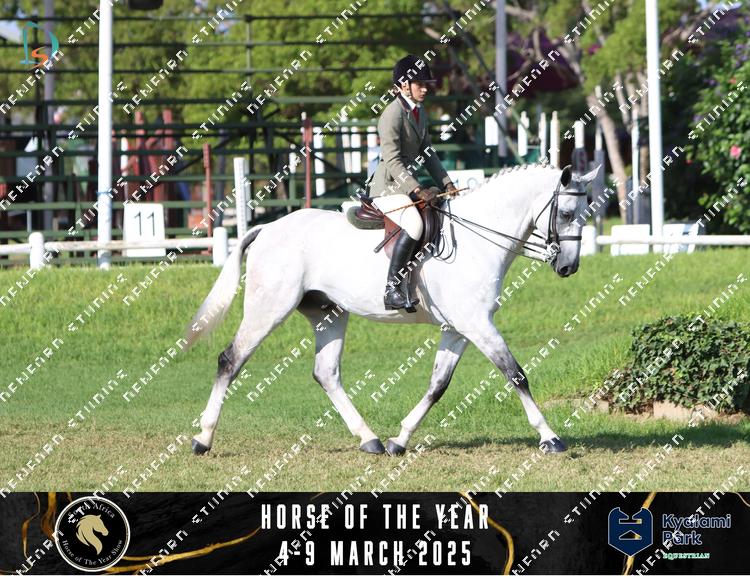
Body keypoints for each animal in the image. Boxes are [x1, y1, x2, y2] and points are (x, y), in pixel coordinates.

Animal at [184, 163, 601, 456]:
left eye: (588, 213)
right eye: (566, 213)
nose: (568, 267)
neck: (478, 239)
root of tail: (267, 228)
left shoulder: (458, 329)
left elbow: (438, 385)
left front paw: (400, 440)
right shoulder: (477, 324)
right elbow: (516, 374)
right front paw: (550, 437)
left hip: (328, 313)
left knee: (326, 373)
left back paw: (370, 439)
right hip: (268, 308)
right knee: (230, 360)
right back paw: (203, 438)